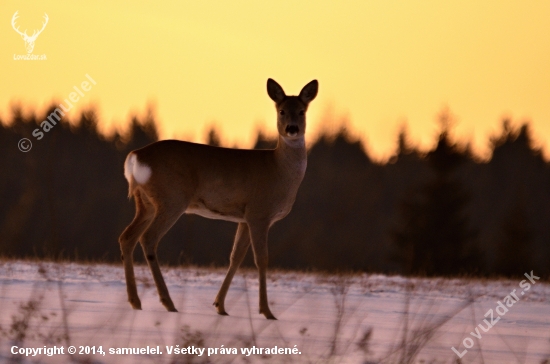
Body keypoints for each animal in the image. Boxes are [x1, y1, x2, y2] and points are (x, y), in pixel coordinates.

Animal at [118, 77, 322, 318]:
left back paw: (135, 301)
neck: (278, 170)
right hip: (171, 199)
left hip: (146, 203)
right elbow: (261, 259)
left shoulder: (244, 218)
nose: (292, 129)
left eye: (302, 111)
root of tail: (135, 156)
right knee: (148, 239)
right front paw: (266, 311)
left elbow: (235, 257)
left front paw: (220, 306)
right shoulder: (259, 213)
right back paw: (168, 303)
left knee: (127, 237)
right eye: (281, 111)